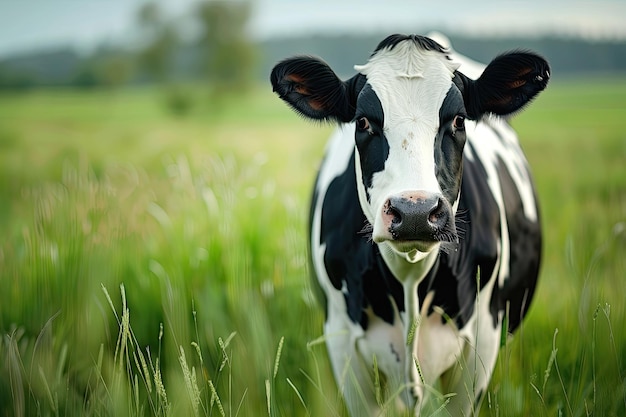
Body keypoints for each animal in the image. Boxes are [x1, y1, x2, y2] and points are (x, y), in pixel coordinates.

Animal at [268, 34, 544, 414]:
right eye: (363, 122)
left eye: (458, 120)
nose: (415, 211)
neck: (410, 279)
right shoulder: (344, 344)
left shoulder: (482, 342)